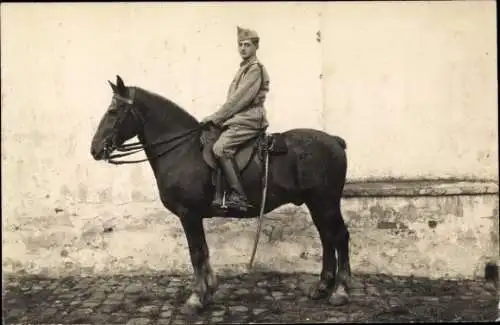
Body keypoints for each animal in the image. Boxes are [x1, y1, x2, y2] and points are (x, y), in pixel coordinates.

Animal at [90, 75, 352, 312]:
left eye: (113, 111)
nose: (95, 149)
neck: (182, 150)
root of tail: (335, 141)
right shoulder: (194, 216)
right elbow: (204, 251)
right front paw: (209, 290)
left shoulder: (188, 215)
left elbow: (196, 253)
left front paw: (196, 298)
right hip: (316, 204)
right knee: (327, 238)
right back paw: (322, 287)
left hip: (325, 203)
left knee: (339, 237)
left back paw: (340, 291)